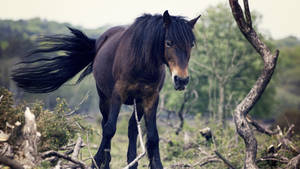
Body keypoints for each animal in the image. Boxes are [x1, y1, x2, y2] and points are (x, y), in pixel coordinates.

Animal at [12, 10, 199, 169]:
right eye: (169, 42)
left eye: (191, 44)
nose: (182, 80)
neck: (141, 62)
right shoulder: (117, 95)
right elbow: (110, 129)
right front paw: (96, 161)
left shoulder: (151, 98)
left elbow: (152, 135)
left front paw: (156, 165)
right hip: (104, 98)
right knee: (105, 124)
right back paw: (107, 162)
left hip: (137, 103)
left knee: (132, 128)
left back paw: (132, 162)